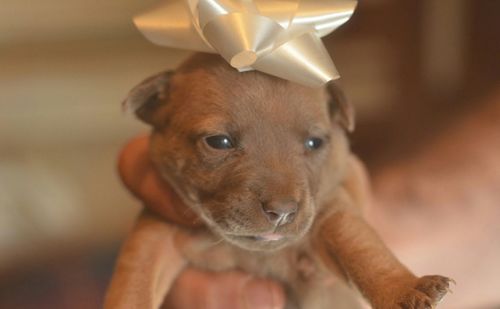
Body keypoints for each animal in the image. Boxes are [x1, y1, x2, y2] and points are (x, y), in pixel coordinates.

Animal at [105, 53, 454, 308]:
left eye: (315, 142)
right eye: (219, 142)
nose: (282, 211)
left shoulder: (331, 211)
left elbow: (362, 248)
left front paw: (404, 287)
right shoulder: (156, 232)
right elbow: (134, 281)